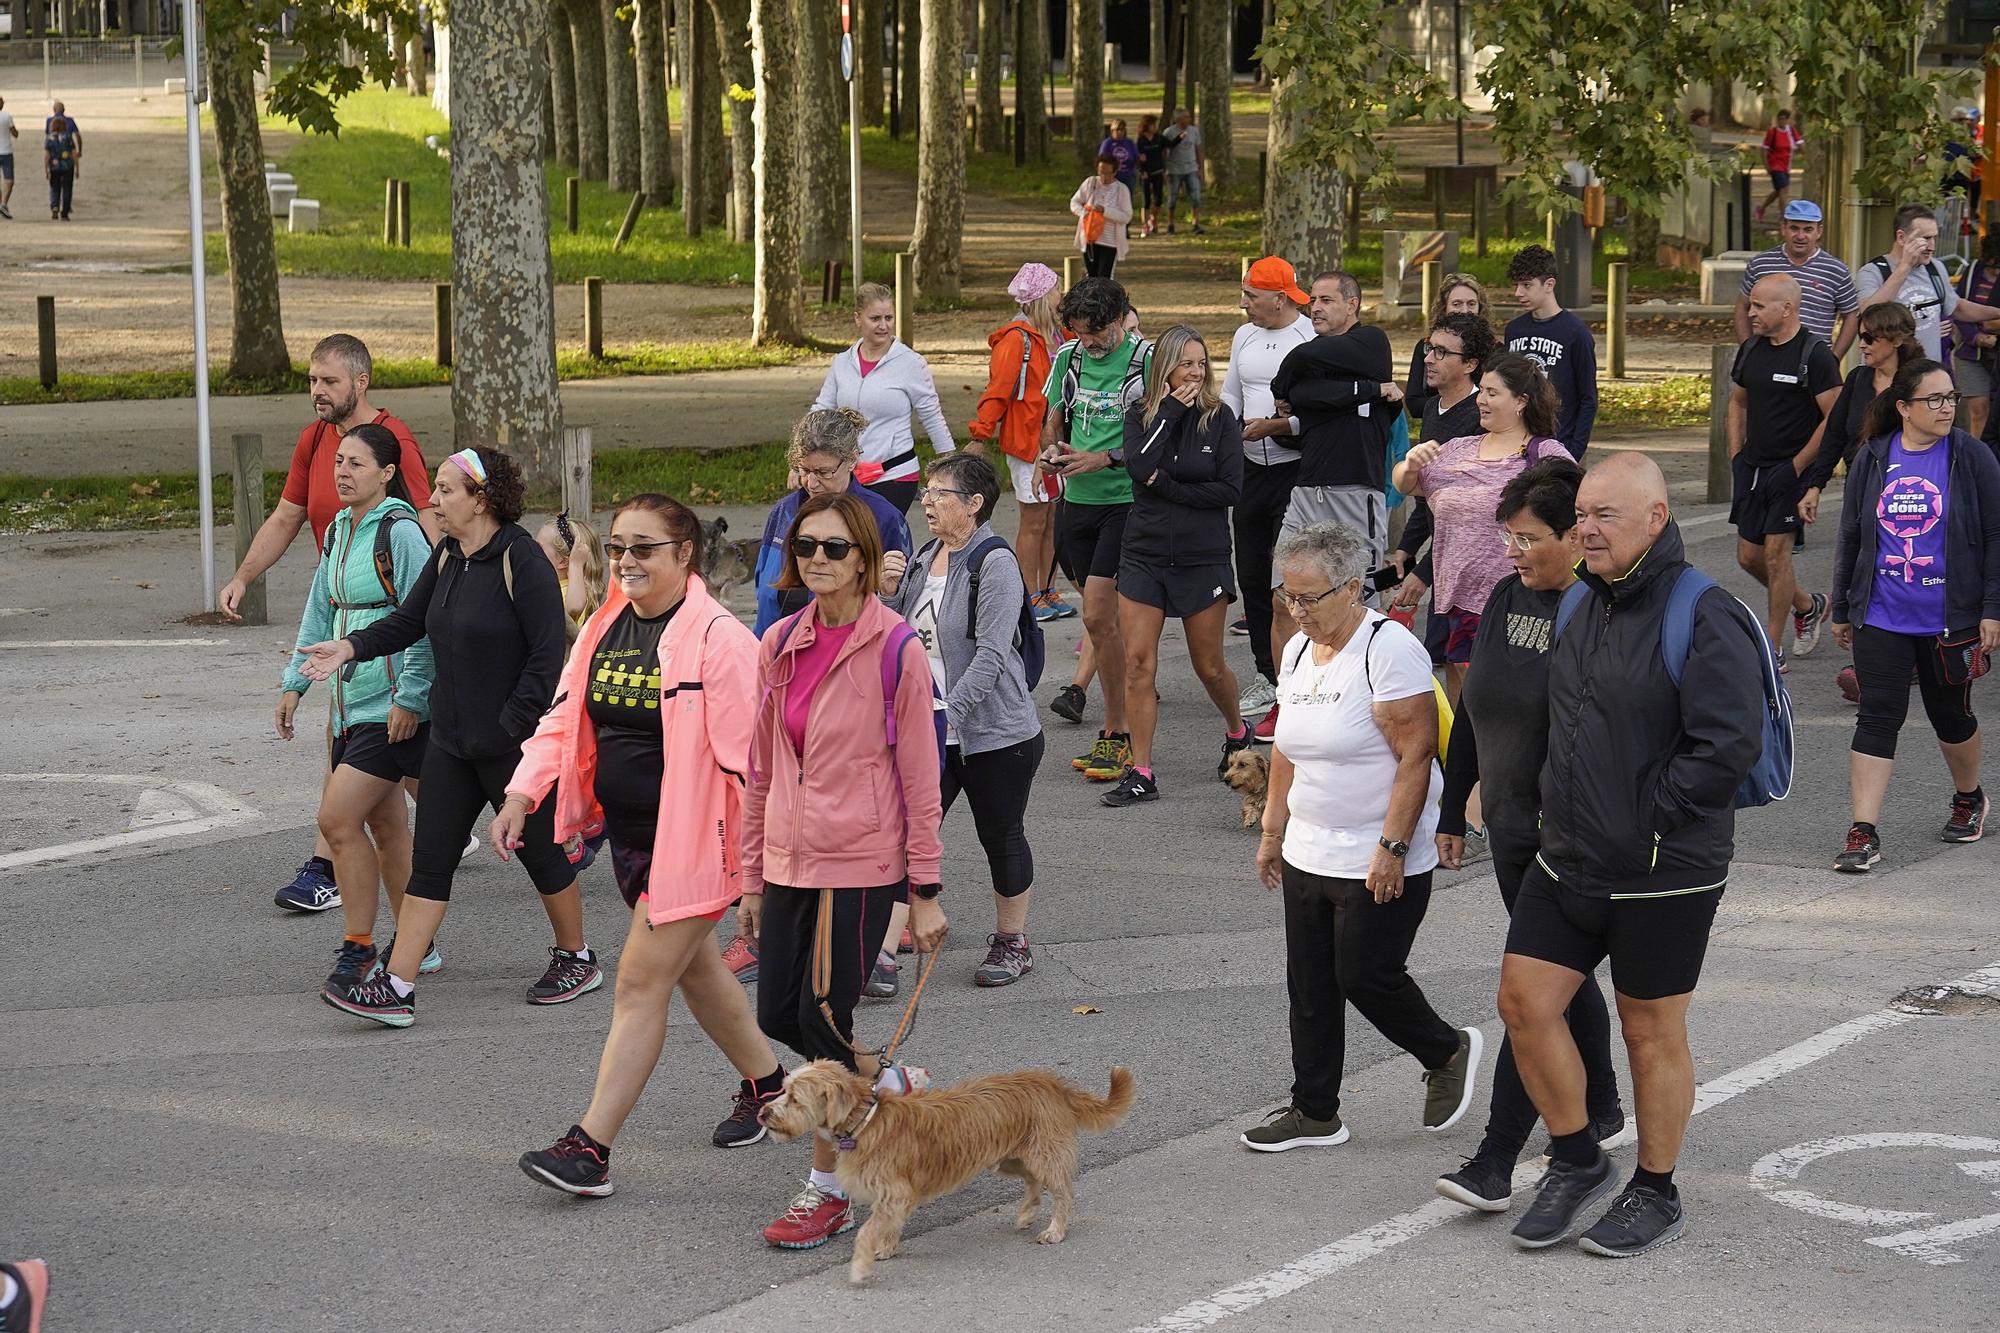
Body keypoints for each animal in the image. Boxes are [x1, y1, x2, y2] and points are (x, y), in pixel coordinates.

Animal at [764, 1056, 1136, 1280]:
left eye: (795, 1099)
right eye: (783, 1090)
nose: (764, 1113)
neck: (865, 1120)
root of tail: (1053, 1084)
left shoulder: (895, 1193)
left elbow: (869, 1230)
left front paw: (861, 1265)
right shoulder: (894, 1198)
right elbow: (888, 1225)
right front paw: (887, 1248)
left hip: (1042, 1155)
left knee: (1063, 1193)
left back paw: (1055, 1230)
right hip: (1007, 1158)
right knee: (1032, 1183)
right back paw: (1028, 1212)